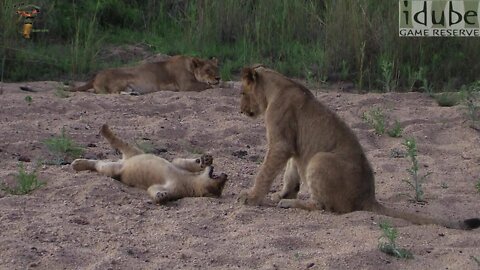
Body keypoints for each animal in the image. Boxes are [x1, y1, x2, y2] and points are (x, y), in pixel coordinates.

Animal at [70, 54, 220, 95]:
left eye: (217, 68)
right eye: (208, 70)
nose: (218, 78)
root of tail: (95, 76)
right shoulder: (186, 86)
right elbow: (206, 86)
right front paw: (215, 85)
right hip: (123, 78)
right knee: (114, 93)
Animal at [71, 124, 229, 202]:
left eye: (220, 187)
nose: (226, 175)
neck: (190, 182)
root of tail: (125, 159)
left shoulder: (171, 187)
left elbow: (153, 189)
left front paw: (161, 196)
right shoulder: (178, 165)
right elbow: (183, 162)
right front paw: (205, 160)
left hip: (114, 168)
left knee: (101, 163)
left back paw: (77, 163)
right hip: (135, 151)